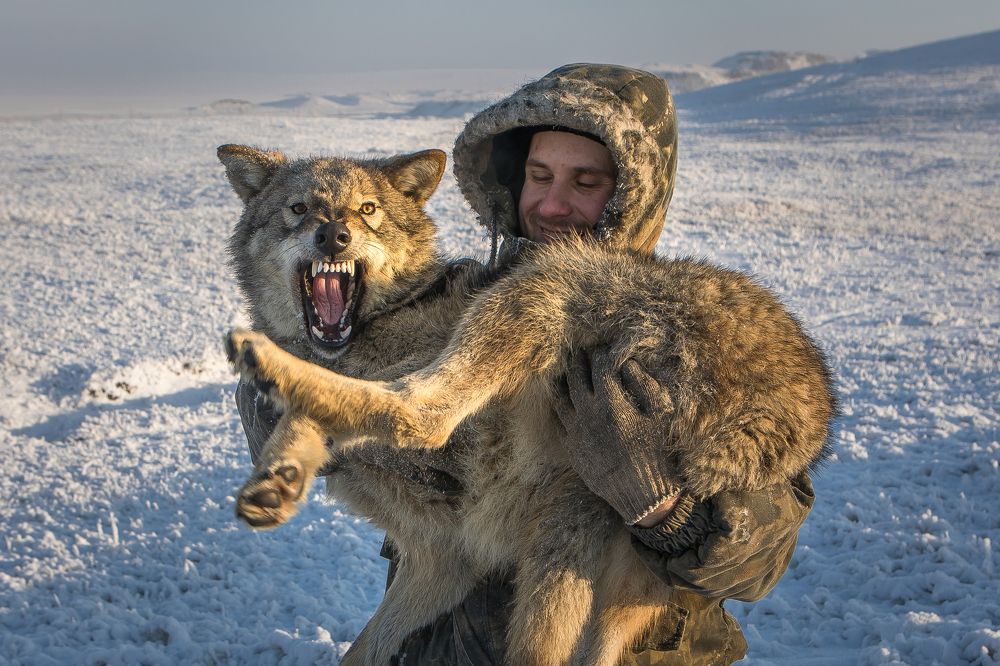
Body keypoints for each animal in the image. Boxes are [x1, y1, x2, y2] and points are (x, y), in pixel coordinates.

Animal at [219, 144, 835, 666]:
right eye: (300, 209)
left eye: (367, 209)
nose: (335, 237)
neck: (384, 321)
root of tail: (812, 409)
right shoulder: (442, 558)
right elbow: (361, 650)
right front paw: (279, 474)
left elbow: (336, 410)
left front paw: (282, 426)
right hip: (593, 571)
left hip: (549, 282)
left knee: (421, 413)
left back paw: (263, 358)